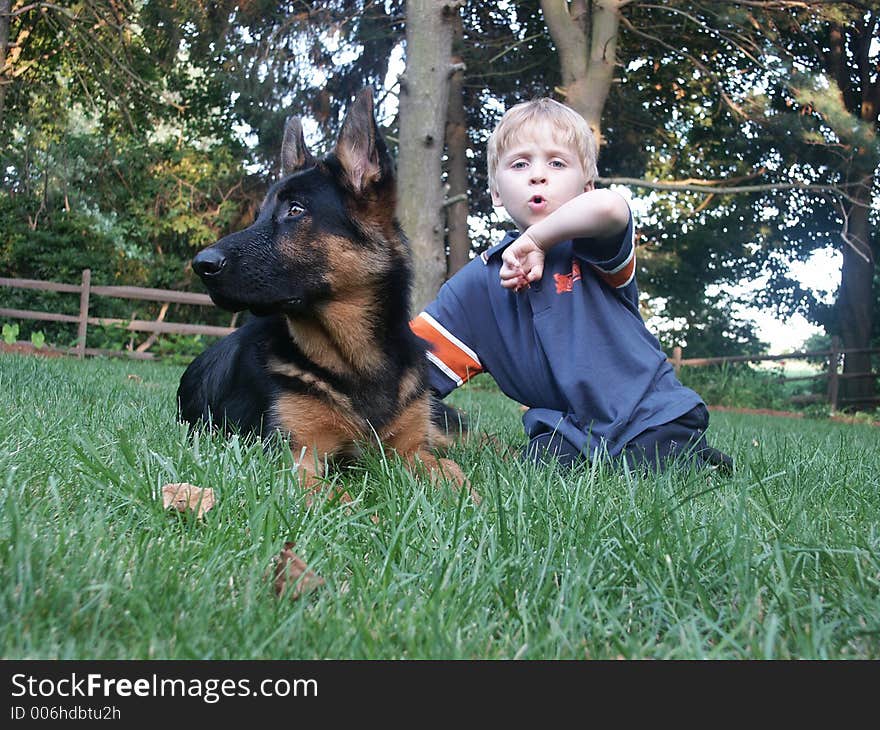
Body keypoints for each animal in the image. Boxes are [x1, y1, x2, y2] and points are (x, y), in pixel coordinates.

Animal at [177, 88, 468, 504]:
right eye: (260, 214)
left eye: (295, 210)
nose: (201, 265)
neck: (354, 362)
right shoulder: (296, 458)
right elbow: (341, 501)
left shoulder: (414, 449)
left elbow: (456, 475)